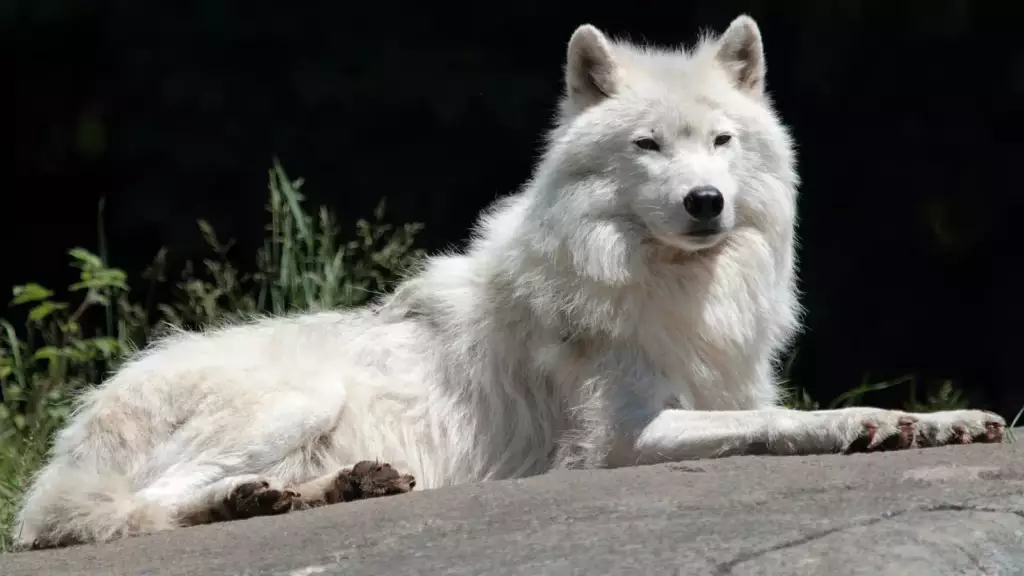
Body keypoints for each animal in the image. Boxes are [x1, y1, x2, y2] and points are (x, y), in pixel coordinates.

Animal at [14, 15, 1005, 550]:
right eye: (648, 146)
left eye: (721, 141)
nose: (705, 201)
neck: (671, 290)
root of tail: (76, 434)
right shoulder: (617, 443)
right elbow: (783, 422)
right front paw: (862, 426)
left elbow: (816, 408)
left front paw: (940, 423)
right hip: (297, 400)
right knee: (133, 510)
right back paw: (251, 500)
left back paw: (337, 490)